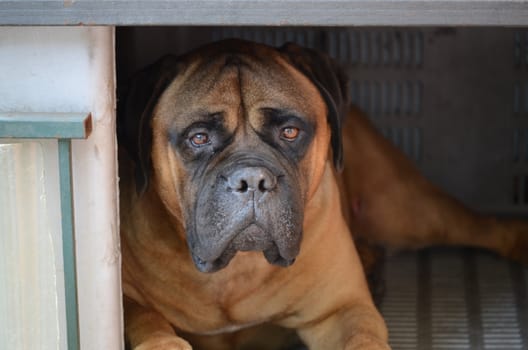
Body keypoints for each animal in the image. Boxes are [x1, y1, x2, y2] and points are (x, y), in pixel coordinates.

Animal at [119, 39, 528, 348]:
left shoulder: (342, 311)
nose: (252, 179)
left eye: (290, 132)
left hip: (411, 211)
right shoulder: (125, 296)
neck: (236, 273)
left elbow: (361, 337)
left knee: (485, 227)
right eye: (199, 138)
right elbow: (145, 320)